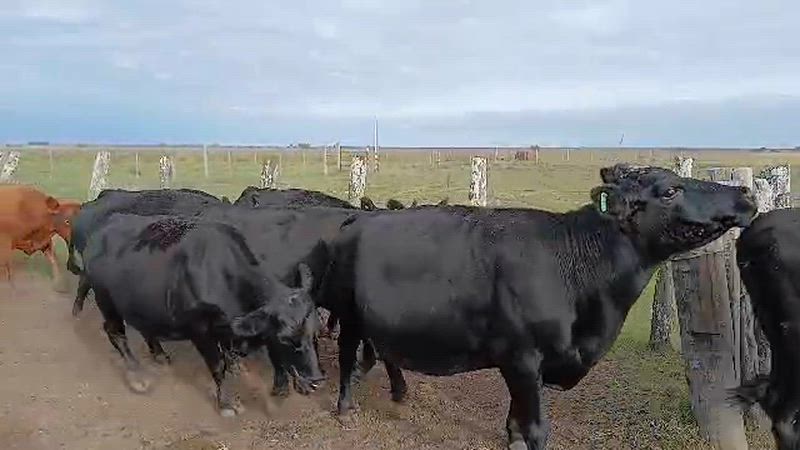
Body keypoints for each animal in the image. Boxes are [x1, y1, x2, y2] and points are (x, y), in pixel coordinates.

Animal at [81, 213, 324, 416]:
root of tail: (101, 229)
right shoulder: (200, 332)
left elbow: (230, 360)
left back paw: (159, 355)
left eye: (315, 334)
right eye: (285, 338)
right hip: (106, 301)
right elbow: (218, 366)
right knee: (115, 332)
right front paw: (227, 403)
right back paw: (137, 376)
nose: (316, 381)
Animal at [320, 164, 758, 450]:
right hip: (349, 315)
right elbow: (534, 427)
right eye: (669, 190)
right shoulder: (523, 358)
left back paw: (396, 391)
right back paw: (345, 407)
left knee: (380, 352)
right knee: (346, 353)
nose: (745, 194)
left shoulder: (523, 365)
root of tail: (359, 218)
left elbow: (515, 419)